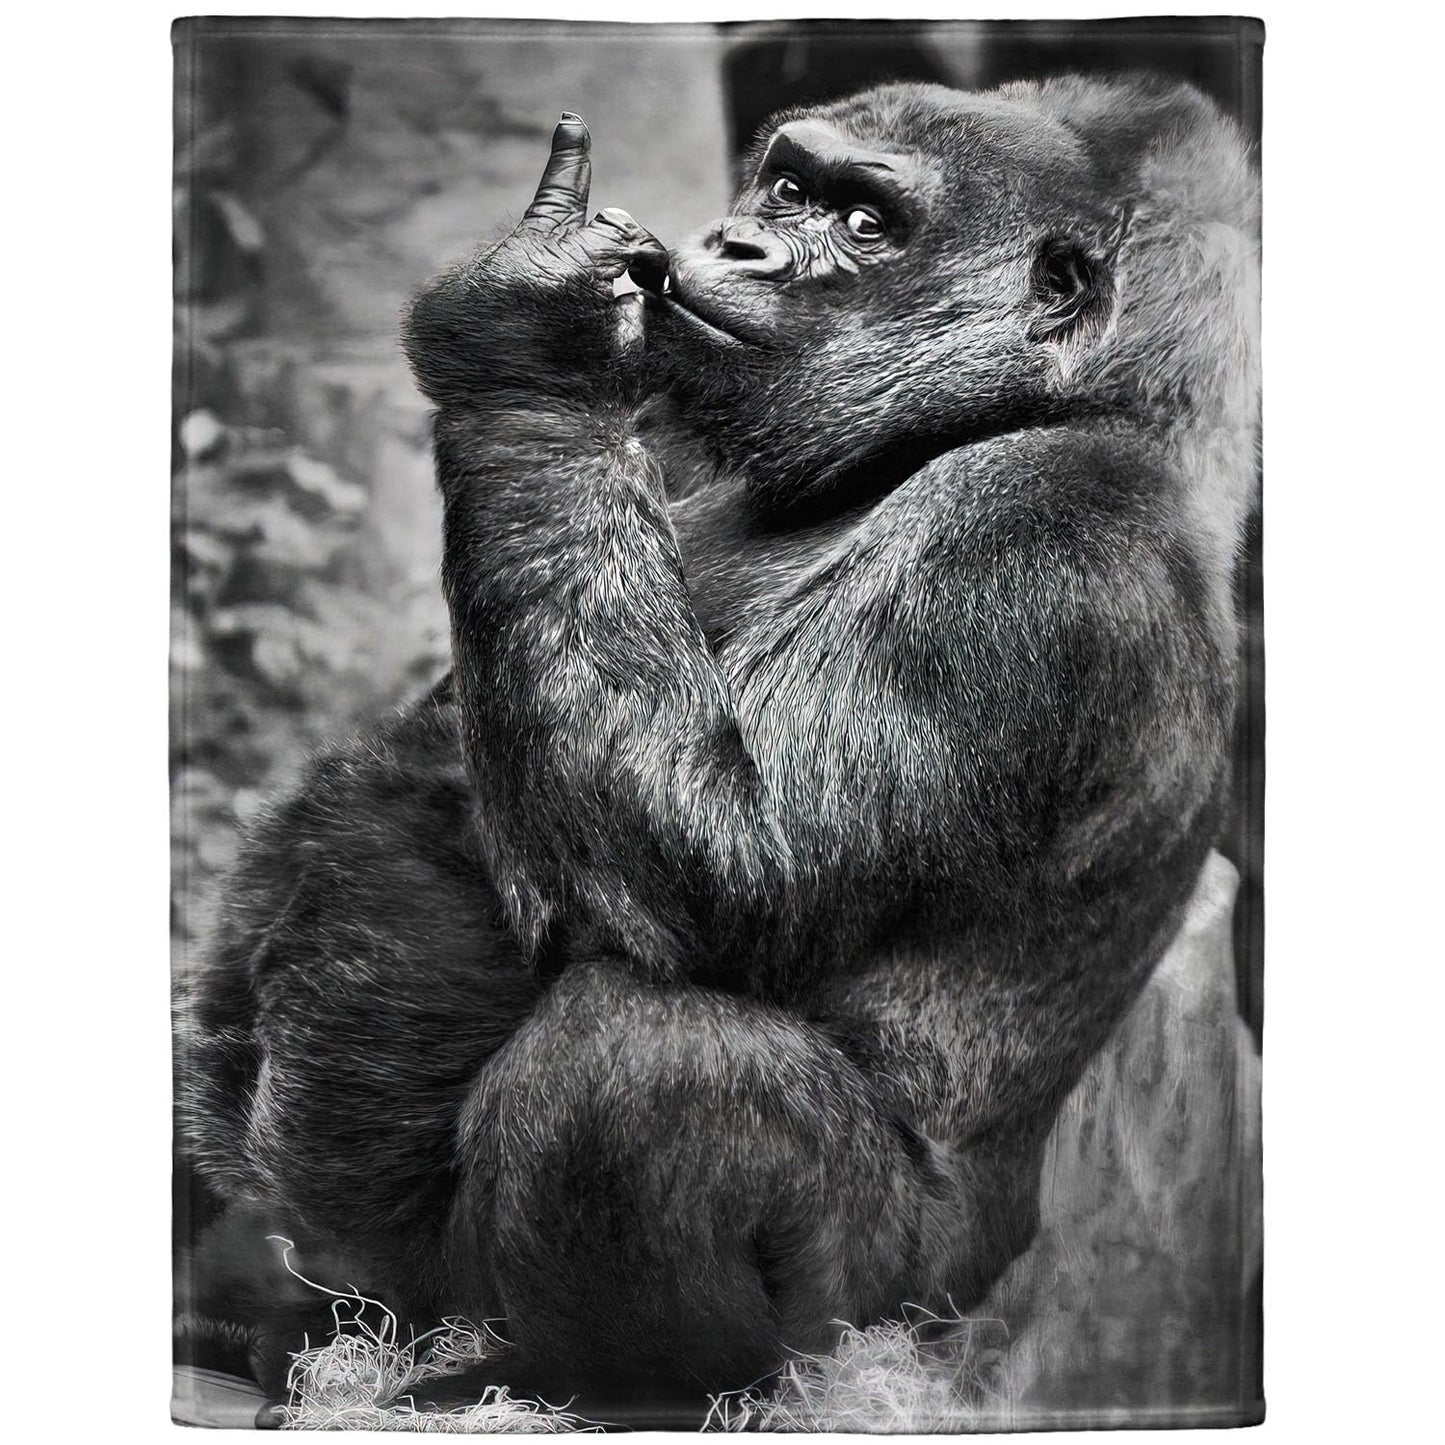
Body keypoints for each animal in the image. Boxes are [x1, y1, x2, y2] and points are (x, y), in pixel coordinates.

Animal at [177, 74, 1259, 1423]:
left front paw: (528, 341)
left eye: (864, 223)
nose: (739, 243)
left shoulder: (1033, 526)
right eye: (789, 187)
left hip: (880, 1310)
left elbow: (731, 872)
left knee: (643, 1064)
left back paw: (600, 1385)